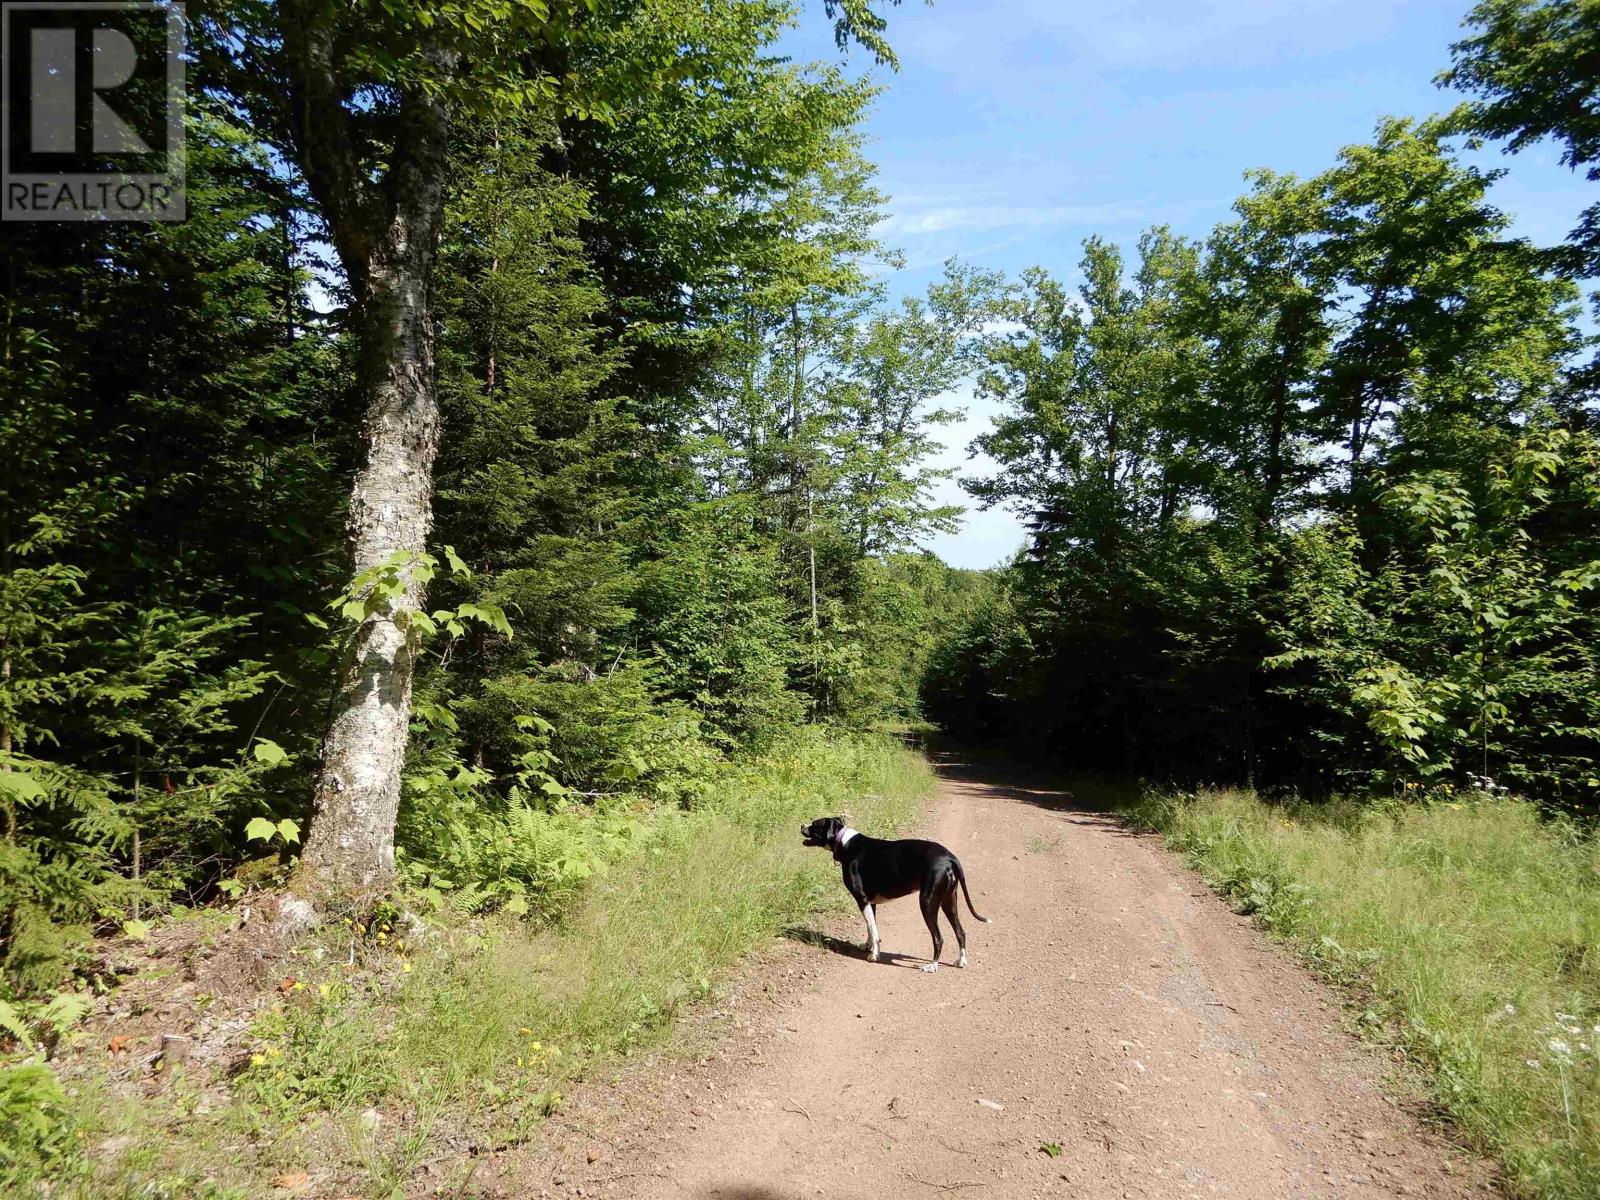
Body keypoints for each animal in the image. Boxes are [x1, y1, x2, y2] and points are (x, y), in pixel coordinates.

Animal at [800, 819, 985, 979]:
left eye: (815, 824)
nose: (802, 825)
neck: (845, 844)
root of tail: (950, 858)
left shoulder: (862, 899)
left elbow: (873, 930)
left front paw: (874, 955)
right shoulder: (871, 902)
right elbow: (871, 926)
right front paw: (868, 946)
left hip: (927, 903)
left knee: (938, 938)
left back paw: (932, 966)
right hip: (948, 901)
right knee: (960, 932)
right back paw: (961, 961)